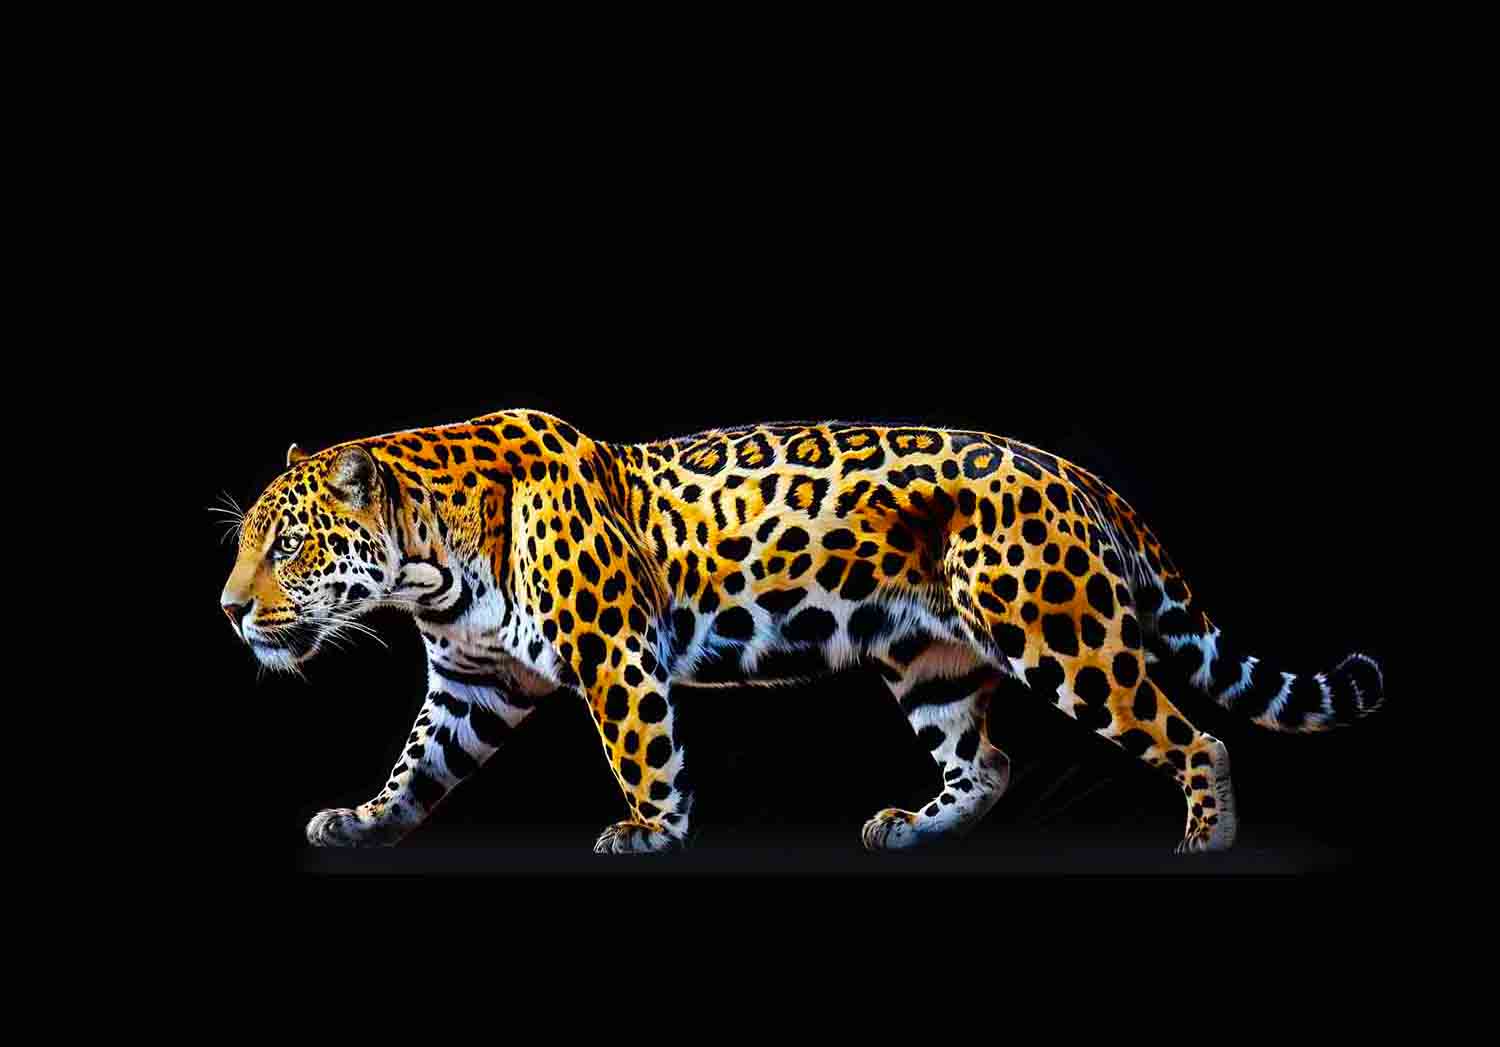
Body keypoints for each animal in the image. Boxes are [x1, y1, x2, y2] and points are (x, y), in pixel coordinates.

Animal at [219, 410, 1384, 855]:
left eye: (287, 545)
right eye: (248, 545)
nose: (229, 609)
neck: (428, 567)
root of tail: (1076, 474)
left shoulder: (614, 651)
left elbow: (644, 750)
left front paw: (651, 832)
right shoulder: (473, 680)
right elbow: (418, 760)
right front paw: (365, 820)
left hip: (1062, 634)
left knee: (1194, 735)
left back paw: (1205, 842)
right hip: (929, 659)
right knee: (989, 758)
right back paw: (915, 829)